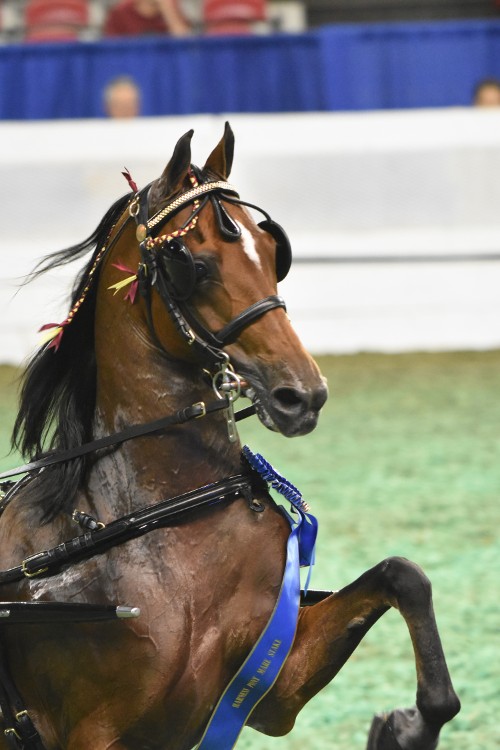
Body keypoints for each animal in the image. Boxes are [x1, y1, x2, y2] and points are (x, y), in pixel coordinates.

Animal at [0, 126, 458, 748]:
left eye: (272, 250)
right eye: (189, 261)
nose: (302, 395)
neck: (159, 517)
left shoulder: (271, 681)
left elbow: (403, 576)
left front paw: (404, 728)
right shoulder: (93, 733)